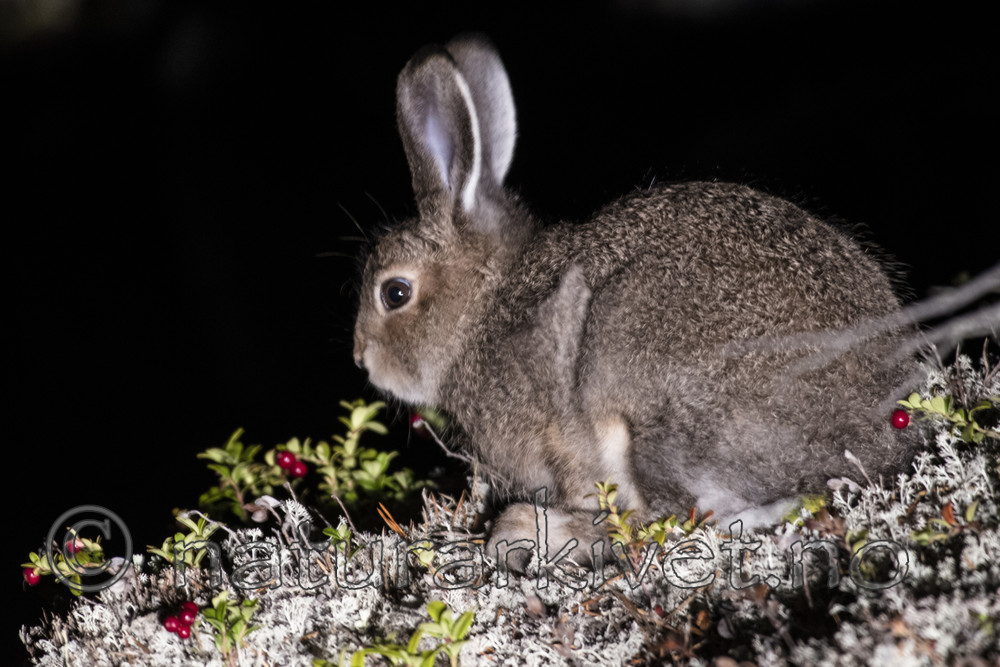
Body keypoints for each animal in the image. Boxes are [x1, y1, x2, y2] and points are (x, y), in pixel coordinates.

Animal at [352, 34, 919, 569]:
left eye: (394, 293)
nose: (362, 360)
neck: (483, 307)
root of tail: (875, 438)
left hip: (639, 395)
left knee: (672, 518)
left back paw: (528, 531)